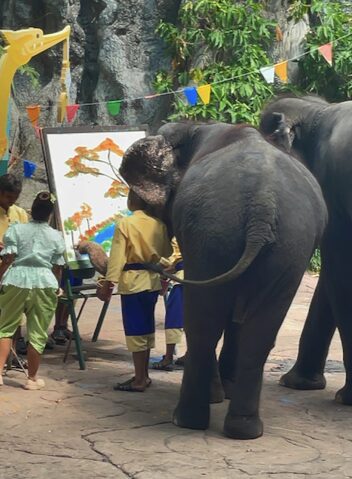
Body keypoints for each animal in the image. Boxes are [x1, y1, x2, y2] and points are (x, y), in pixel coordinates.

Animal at [119, 122, 328, 440]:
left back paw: (186, 420)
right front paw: (223, 394)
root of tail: (262, 205)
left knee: (203, 324)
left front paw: (218, 396)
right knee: (259, 333)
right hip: (287, 245)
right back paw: (244, 429)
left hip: (214, 231)